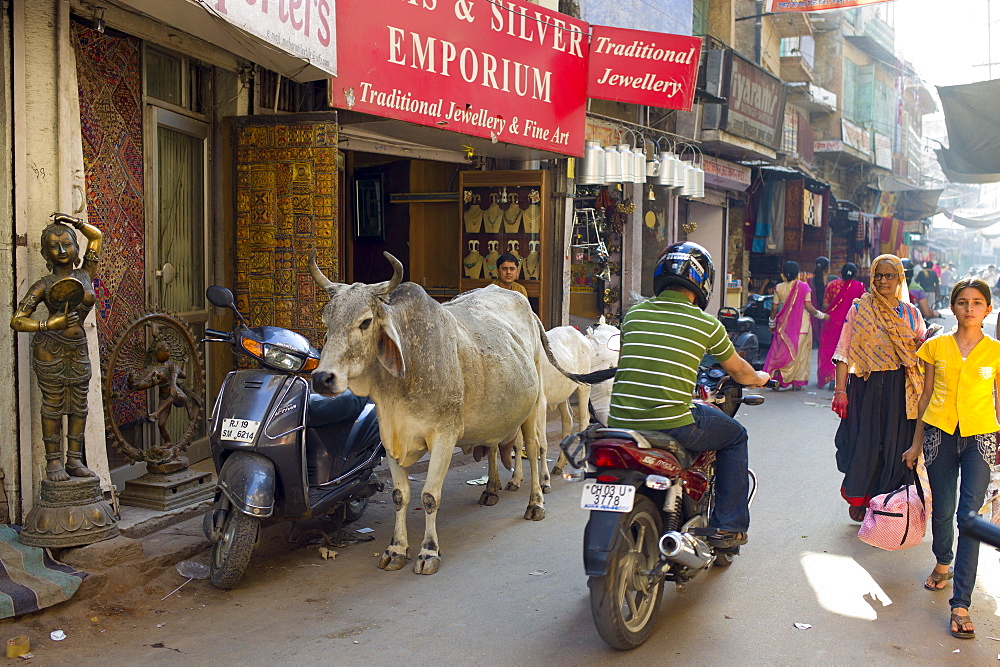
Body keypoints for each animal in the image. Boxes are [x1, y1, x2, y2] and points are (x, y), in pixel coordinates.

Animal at [308, 250, 576, 576]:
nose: (323, 378)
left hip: (534, 406)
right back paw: (491, 489)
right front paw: (396, 549)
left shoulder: (444, 436)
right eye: (327, 319)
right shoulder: (390, 438)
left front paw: (428, 551)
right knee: (492, 448)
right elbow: (400, 496)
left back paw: (536, 503)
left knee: (535, 450)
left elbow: (429, 496)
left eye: (366, 321)